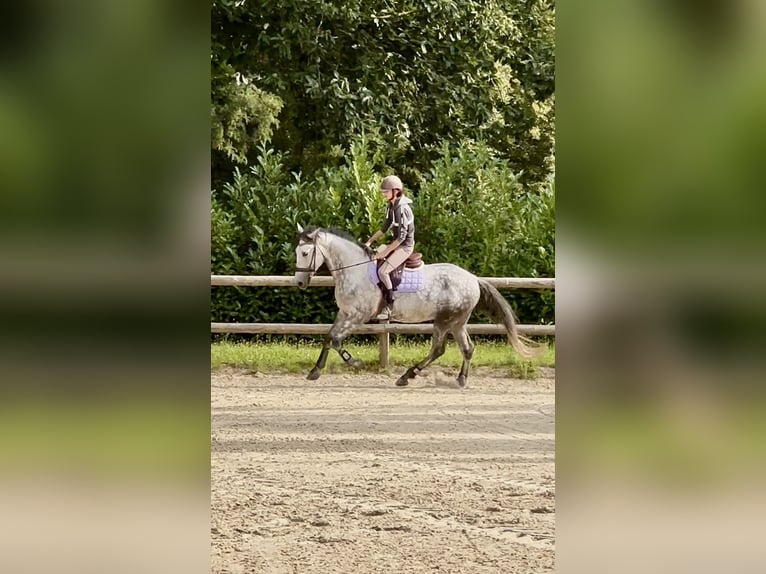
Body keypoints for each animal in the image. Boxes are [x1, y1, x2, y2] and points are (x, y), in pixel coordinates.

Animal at [293, 224, 537, 387]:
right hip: (457, 322)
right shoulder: (344, 313)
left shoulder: (358, 315)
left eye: (305, 253)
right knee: (466, 348)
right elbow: (329, 337)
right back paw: (459, 379)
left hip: (445, 320)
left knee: (439, 349)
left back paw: (407, 375)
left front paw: (355, 362)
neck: (354, 269)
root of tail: (474, 279)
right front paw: (315, 371)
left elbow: (336, 340)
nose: (299, 283)